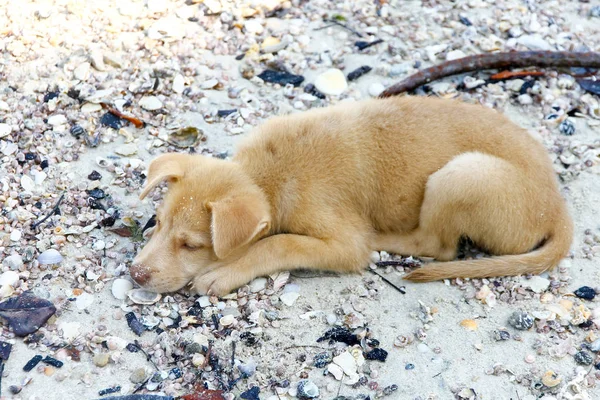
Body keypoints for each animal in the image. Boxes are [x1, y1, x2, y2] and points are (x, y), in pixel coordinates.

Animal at [130, 96, 572, 296]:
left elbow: (278, 243)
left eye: (191, 245)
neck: (269, 173)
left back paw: (387, 240)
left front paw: (224, 272)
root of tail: (558, 207)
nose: (136, 275)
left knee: (438, 246)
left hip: (463, 174)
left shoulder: (343, 242)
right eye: (157, 223)